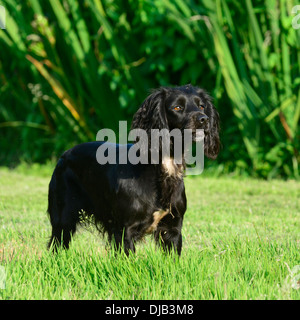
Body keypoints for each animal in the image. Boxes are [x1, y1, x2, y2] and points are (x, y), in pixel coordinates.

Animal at [47, 84, 220, 255]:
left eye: (201, 106)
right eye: (177, 107)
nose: (204, 119)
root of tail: (64, 154)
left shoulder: (172, 228)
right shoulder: (124, 230)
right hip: (63, 217)